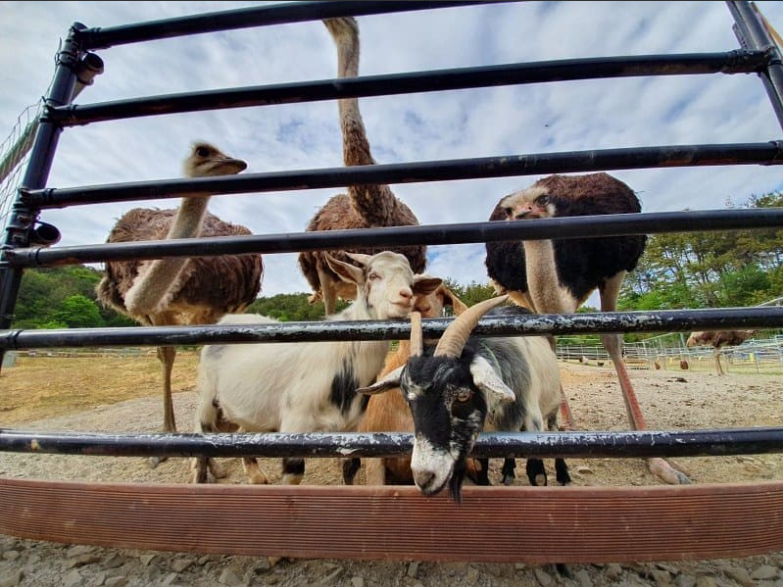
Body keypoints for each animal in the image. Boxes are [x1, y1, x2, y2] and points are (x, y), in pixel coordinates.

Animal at [189, 253, 440, 486]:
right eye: (373, 275)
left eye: (411, 282)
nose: (405, 296)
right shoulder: (294, 423)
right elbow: (294, 475)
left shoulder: (352, 428)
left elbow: (350, 467)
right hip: (208, 397)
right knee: (203, 436)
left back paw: (255, 476)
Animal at [356, 296, 568, 504]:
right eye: (408, 400)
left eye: (463, 396)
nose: (424, 477)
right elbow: (483, 469)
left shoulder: (533, 422)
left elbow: (538, 477)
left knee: (556, 427)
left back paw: (563, 474)